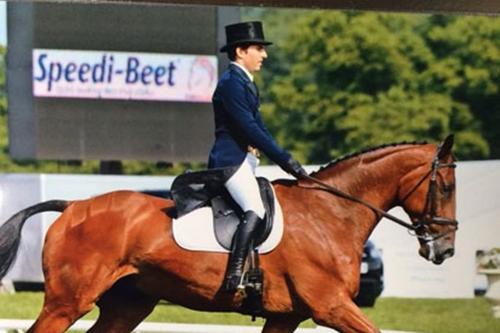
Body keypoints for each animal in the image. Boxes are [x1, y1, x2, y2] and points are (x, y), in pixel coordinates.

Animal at [0, 136, 458, 332]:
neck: (331, 214)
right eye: (446, 186)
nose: (445, 250)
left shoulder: (286, 316)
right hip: (67, 303)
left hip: (127, 305)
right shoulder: (331, 307)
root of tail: (72, 206)